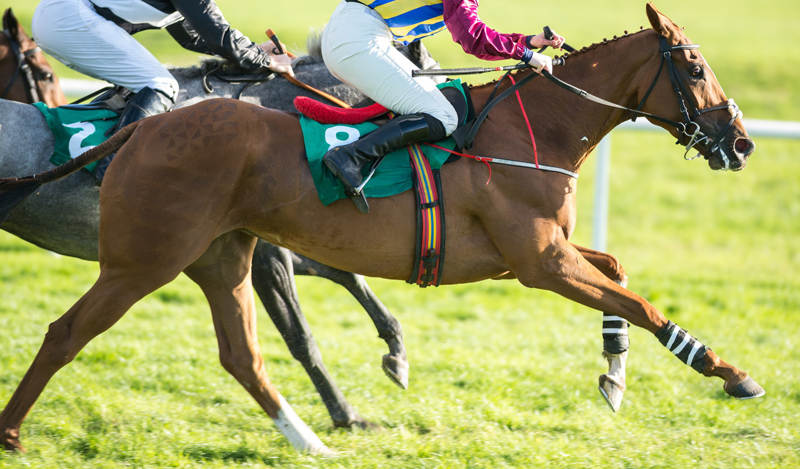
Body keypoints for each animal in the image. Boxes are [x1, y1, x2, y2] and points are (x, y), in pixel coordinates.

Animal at [0, 3, 764, 454]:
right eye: (694, 65)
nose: (740, 141)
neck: (535, 128)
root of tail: (144, 128)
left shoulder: (547, 252)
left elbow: (619, 279)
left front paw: (613, 371)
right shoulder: (538, 261)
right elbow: (638, 300)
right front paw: (728, 371)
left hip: (219, 254)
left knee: (242, 355)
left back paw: (312, 444)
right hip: (146, 259)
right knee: (65, 333)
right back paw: (11, 432)